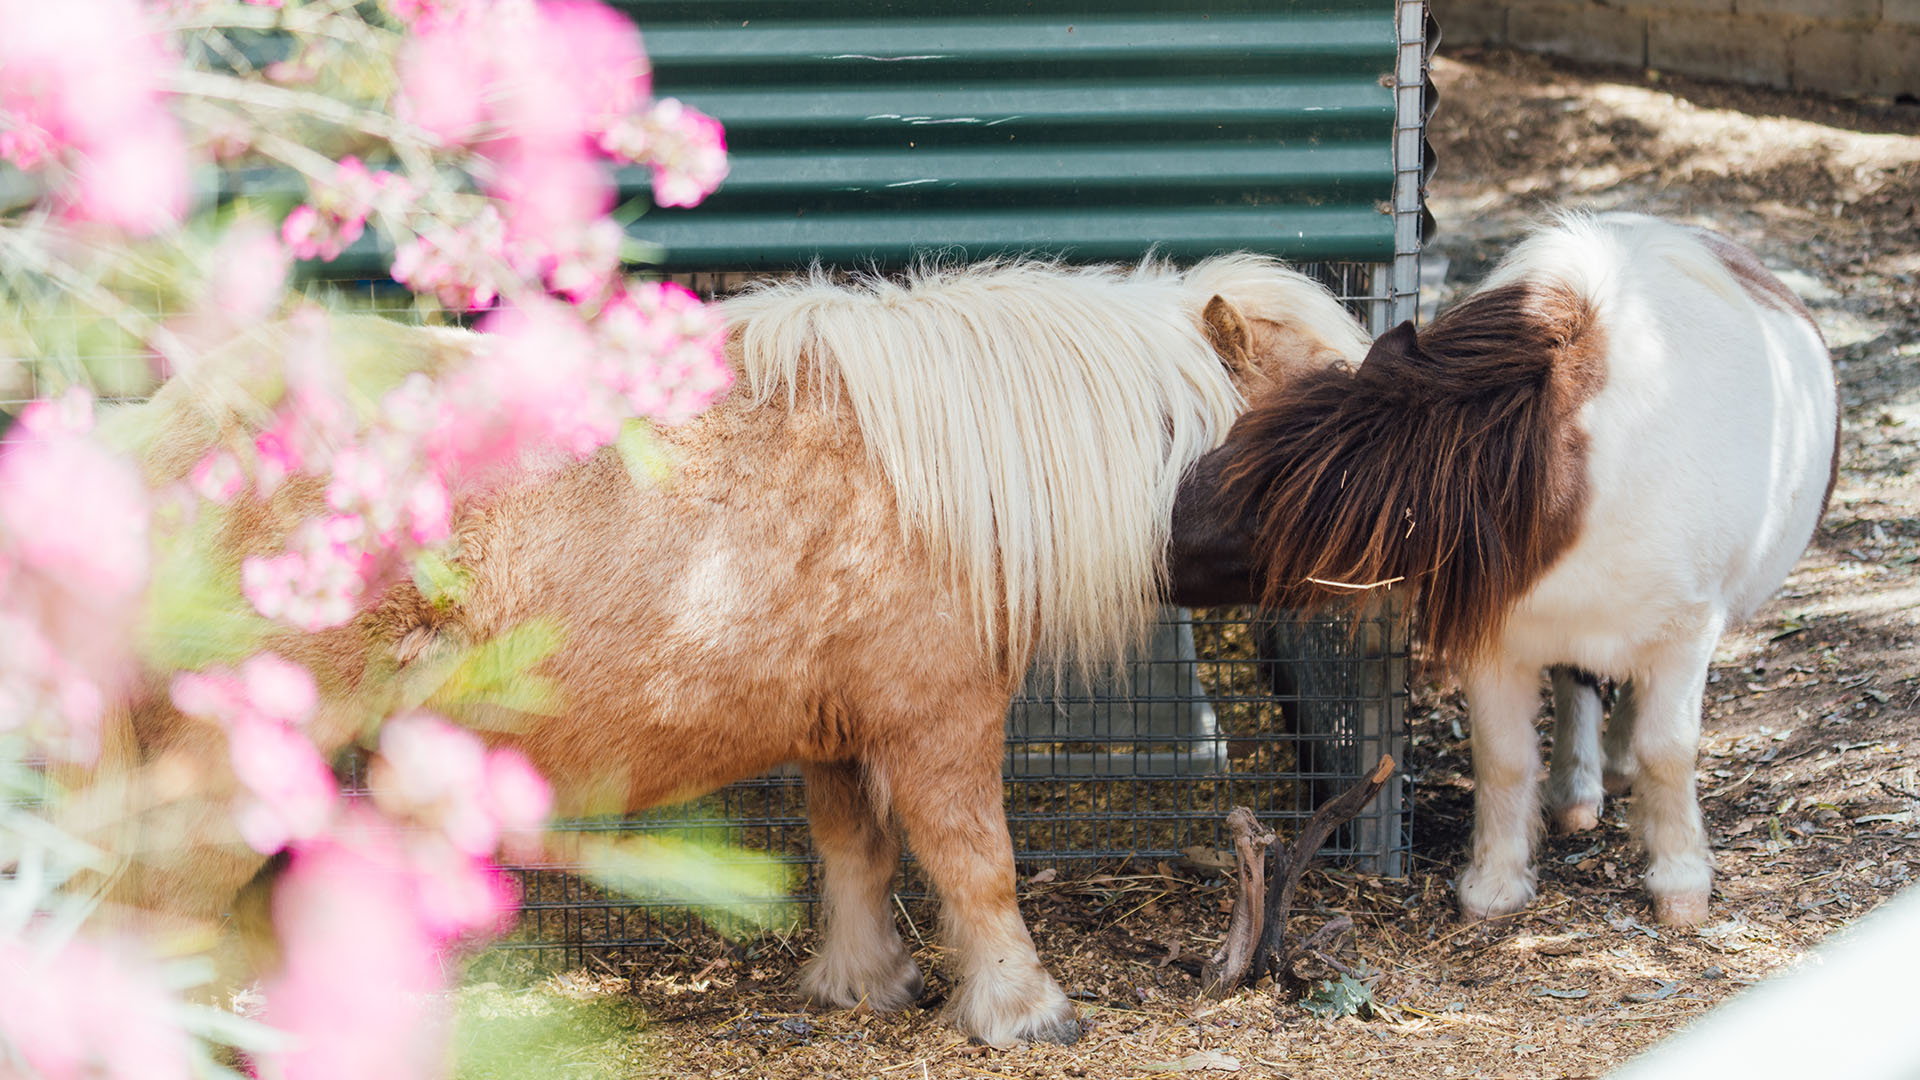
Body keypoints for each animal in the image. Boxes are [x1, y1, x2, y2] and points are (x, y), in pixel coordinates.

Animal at [112, 251, 1374, 1045]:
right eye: (1331, 410)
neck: (929, 481)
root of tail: (149, 438)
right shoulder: (938, 722)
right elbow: (977, 865)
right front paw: (1025, 1008)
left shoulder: (837, 732)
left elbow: (856, 855)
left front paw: (863, 985)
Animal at [1175, 212, 1835, 926]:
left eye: (1251, 501)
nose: (1159, 537)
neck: (1571, 466)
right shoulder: (1498, 642)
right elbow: (1504, 759)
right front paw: (1494, 885)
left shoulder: (1684, 636)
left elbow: (1668, 751)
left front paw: (1681, 884)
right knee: (1579, 684)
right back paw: (1578, 791)